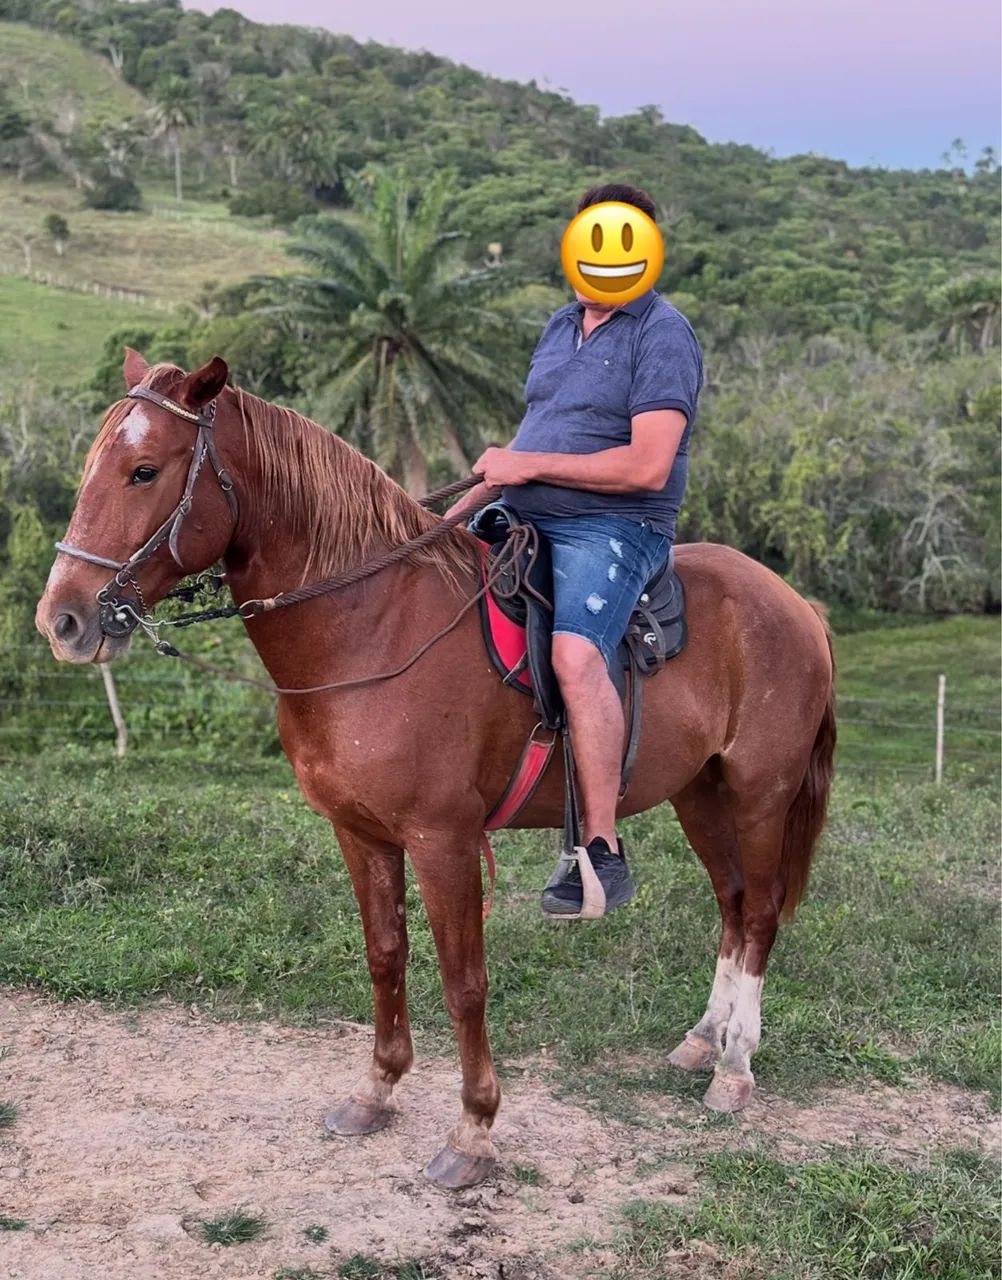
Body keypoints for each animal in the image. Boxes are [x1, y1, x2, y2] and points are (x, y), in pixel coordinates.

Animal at [36, 351, 836, 1190]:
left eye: (144, 471)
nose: (62, 619)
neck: (372, 624)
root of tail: (795, 605)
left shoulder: (442, 840)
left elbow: (463, 983)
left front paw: (474, 1130)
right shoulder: (361, 834)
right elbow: (386, 956)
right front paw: (377, 1090)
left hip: (758, 796)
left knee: (759, 913)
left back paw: (735, 1067)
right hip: (700, 796)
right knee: (732, 904)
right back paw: (702, 1041)